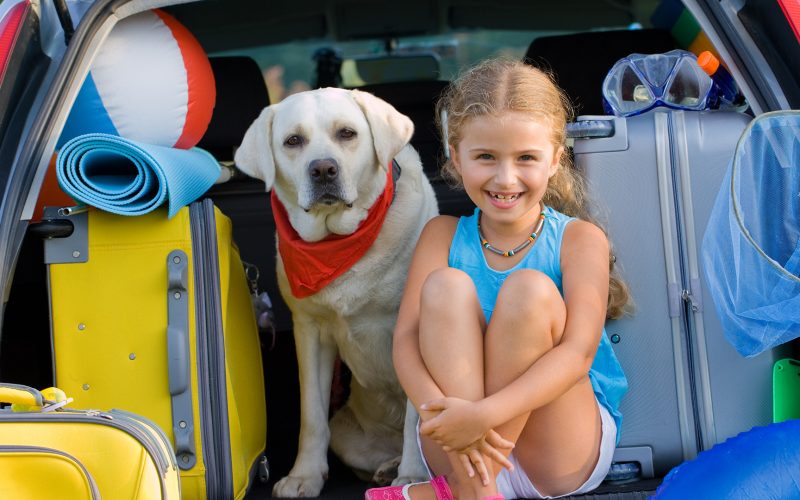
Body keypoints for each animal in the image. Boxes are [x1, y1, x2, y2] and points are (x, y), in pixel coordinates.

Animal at [236, 88, 438, 498]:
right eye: (293, 141)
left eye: (347, 133)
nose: (323, 169)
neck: (339, 243)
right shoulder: (309, 330)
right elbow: (312, 415)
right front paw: (304, 476)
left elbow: (415, 413)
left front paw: (413, 475)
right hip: (348, 434)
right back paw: (386, 469)